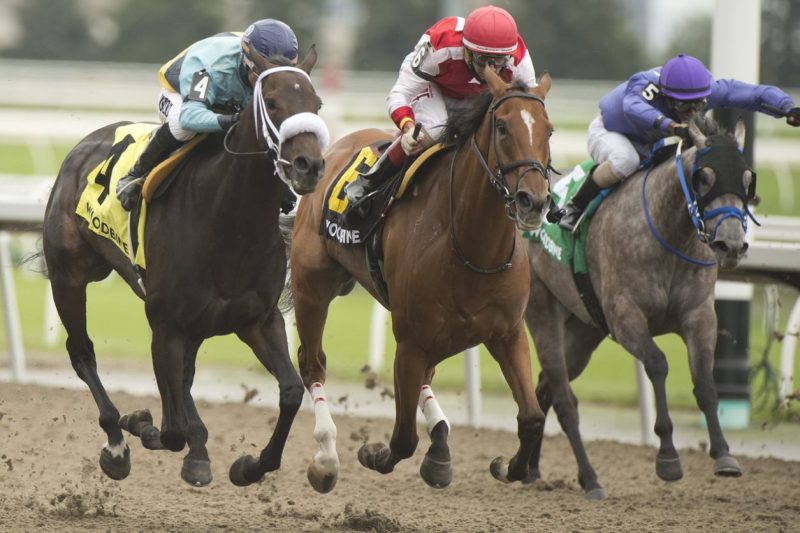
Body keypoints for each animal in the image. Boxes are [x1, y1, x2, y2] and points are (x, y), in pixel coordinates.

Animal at [39, 48, 328, 486]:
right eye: (273, 102)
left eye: (317, 104)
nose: (308, 165)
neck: (230, 224)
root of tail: (84, 145)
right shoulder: (166, 324)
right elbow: (171, 429)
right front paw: (141, 425)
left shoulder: (258, 319)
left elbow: (292, 392)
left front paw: (249, 466)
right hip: (69, 276)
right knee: (82, 353)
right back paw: (117, 443)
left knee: (186, 378)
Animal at [290, 68, 556, 492]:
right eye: (501, 127)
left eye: (548, 129)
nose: (534, 200)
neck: (473, 248)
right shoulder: (411, 342)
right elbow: (402, 437)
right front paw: (372, 453)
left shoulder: (507, 333)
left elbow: (532, 418)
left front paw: (505, 466)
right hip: (311, 287)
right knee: (312, 364)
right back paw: (326, 459)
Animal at [524, 116, 752, 498]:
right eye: (704, 178)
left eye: (748, 179)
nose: (731, 245)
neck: (669, 234)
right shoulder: (625, 317)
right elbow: (658, 364)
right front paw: (668, 456)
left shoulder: (699, 315)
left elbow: (705, 381)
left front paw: (724, 454)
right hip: (543, 310)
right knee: (563, 399)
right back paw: (589, 479)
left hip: (583, 331)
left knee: (545, 387)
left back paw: (522, 467)